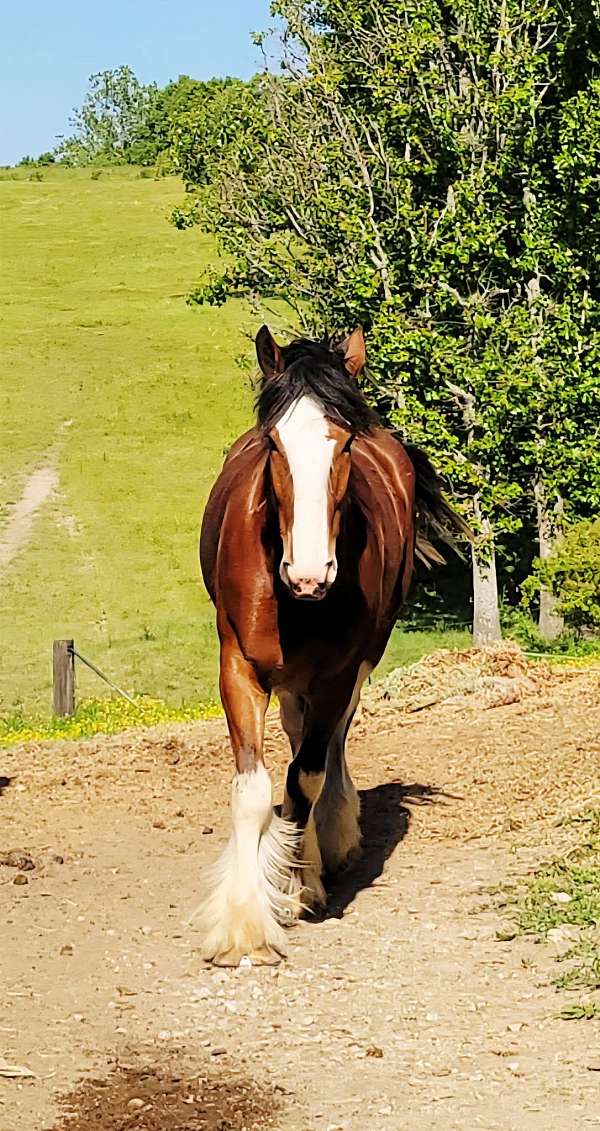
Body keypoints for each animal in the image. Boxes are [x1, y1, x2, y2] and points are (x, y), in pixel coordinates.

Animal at [198, 325, 466, 966]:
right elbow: (255, 791)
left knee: (329, 746)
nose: (310, 572)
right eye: (273, 444)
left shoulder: (338, 673)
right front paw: (243, 925)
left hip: (359, 662)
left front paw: (298, 884)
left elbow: (306, 780)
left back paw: (331, 842)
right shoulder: (237, 667)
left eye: (343, 446)